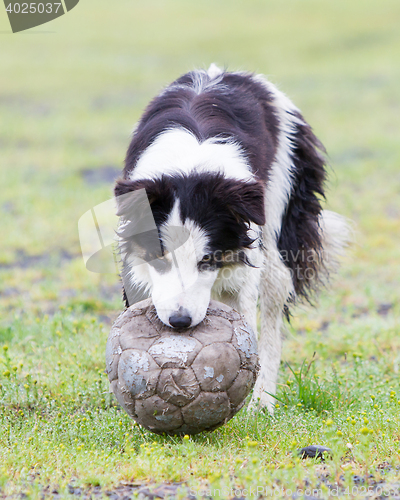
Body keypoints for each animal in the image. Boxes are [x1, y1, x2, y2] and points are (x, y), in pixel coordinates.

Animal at [113, 64, 346, 412]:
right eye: (160, 259)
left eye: (206, 259)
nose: (180, 322)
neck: (189, 169)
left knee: (275, 295)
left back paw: (263, 401)